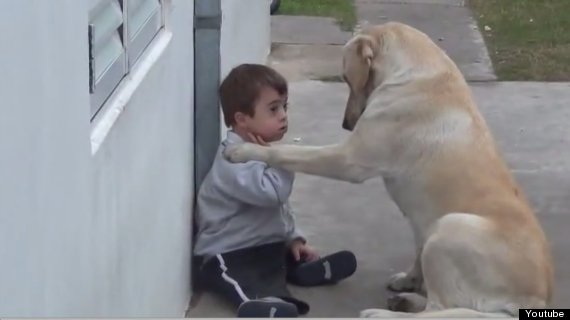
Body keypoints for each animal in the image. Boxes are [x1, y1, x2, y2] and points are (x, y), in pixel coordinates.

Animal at [223, 22, 552, 318]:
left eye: (346, 78)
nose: (346, 124)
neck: (417, 71)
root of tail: (538, 298)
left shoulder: (347, 159)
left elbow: (288, 152)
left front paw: (243, 150)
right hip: (430, 229)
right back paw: (407, 291)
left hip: (450, 227)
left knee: (440, 309)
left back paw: (383, 313)